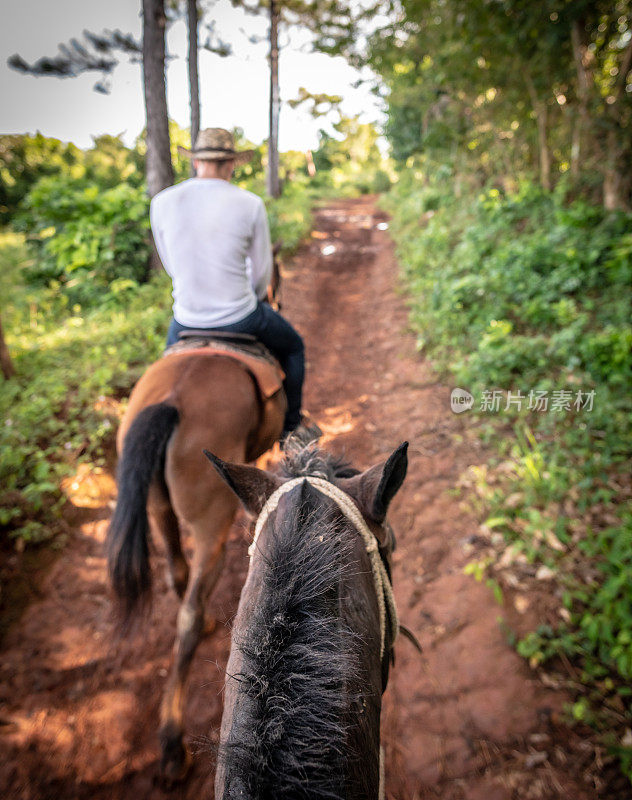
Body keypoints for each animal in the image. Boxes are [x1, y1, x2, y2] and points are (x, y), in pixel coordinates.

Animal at [107, 342, 286, 780]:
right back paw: (172, 744)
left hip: (159, 508)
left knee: (178, 573)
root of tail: (170, 403)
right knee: (188, 608)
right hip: (210, 524)